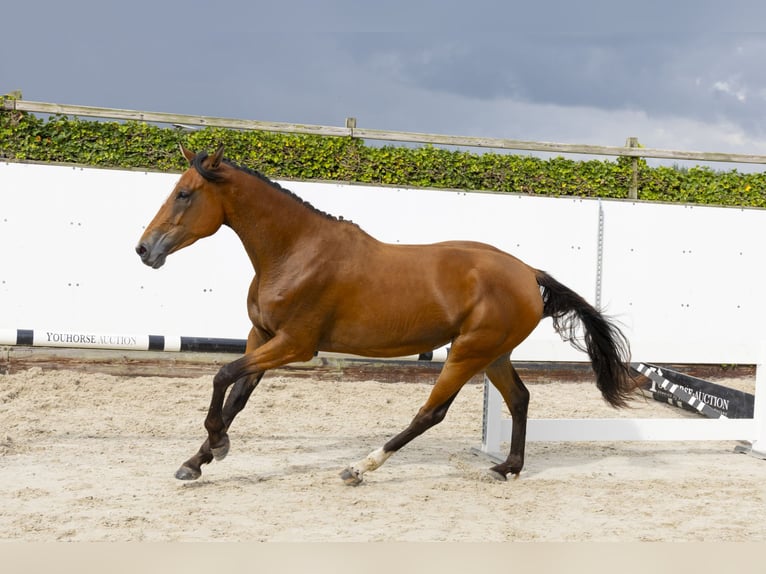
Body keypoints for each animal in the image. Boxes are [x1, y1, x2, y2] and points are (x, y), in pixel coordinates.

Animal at [136, 145, 636, 486]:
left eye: (184, 194)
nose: (144, 249)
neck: (295, 251)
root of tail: (528, 273)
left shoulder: (294, 345)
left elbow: (221, 376)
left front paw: (216, 446)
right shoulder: (261, 337)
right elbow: (236, 396)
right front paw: (197, 460)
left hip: (467, 352)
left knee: (431, 412)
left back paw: (360, 467)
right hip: (493, 353)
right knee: (519, 399)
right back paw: (507, 468)